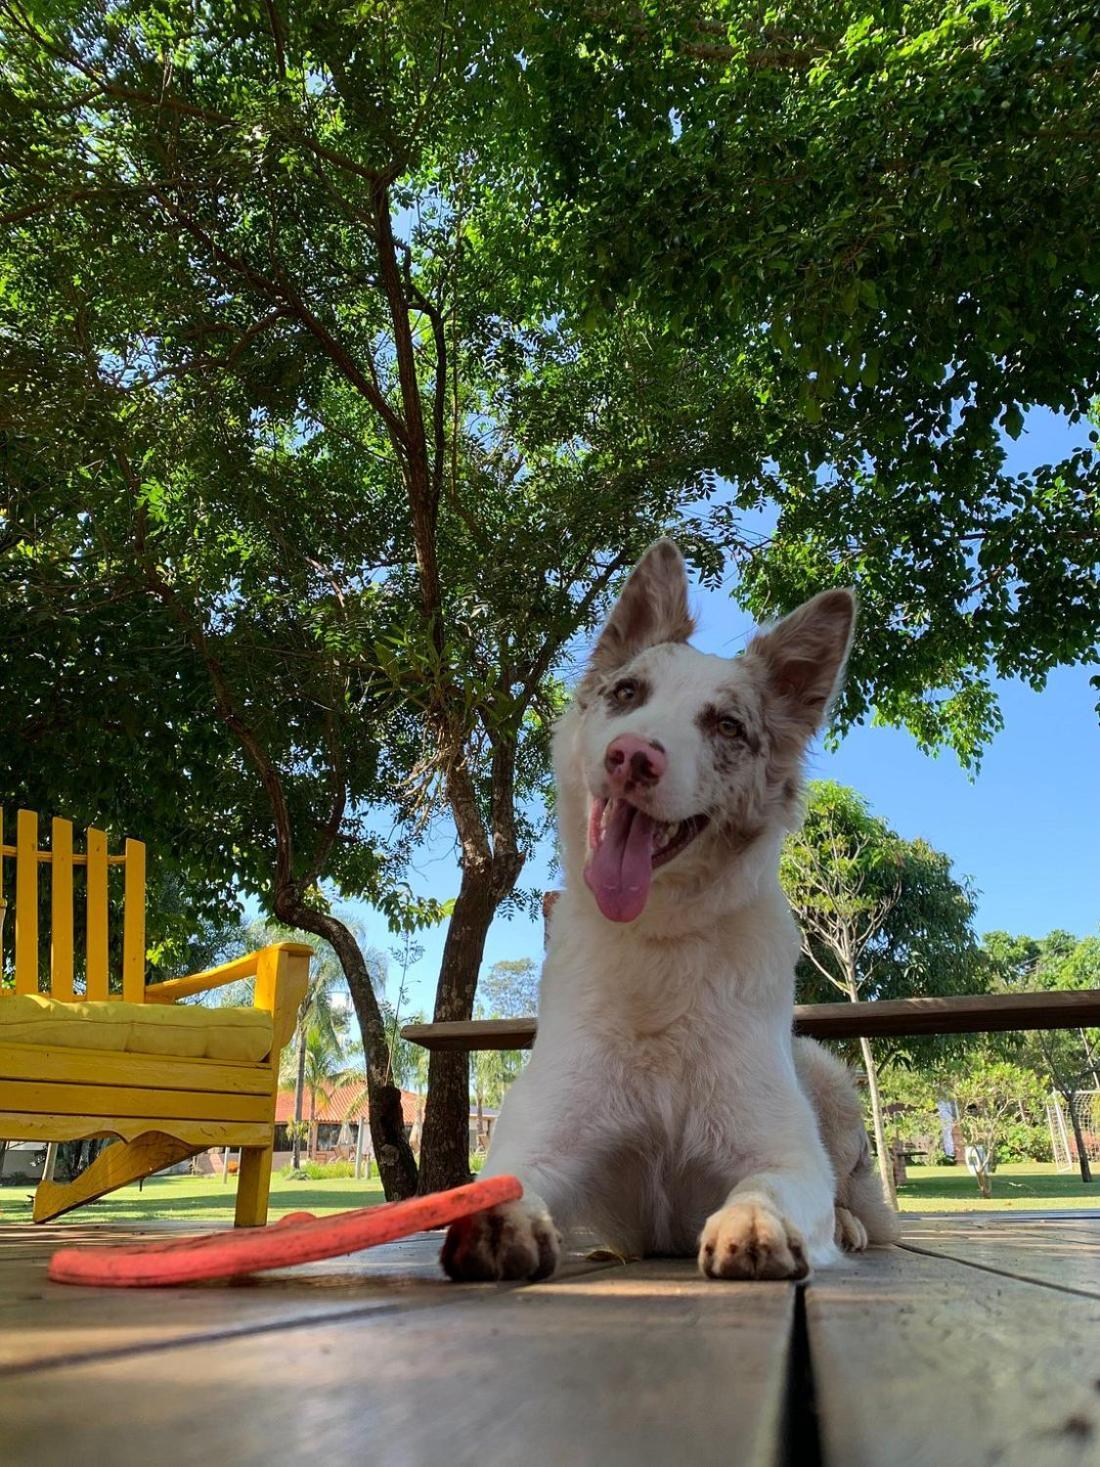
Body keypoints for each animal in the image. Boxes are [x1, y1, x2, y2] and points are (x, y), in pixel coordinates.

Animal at [442, 539, 897, 1285]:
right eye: (629, 694)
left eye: (726, 725)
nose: (632, 757)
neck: (660, 938)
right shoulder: (546, 1140)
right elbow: (508, 1178)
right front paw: (497, 1218)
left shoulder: (785, 1154)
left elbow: (772, 1184)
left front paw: (755, 1221)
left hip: (824, 1071)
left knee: (850, 1194)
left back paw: (852, 1226)